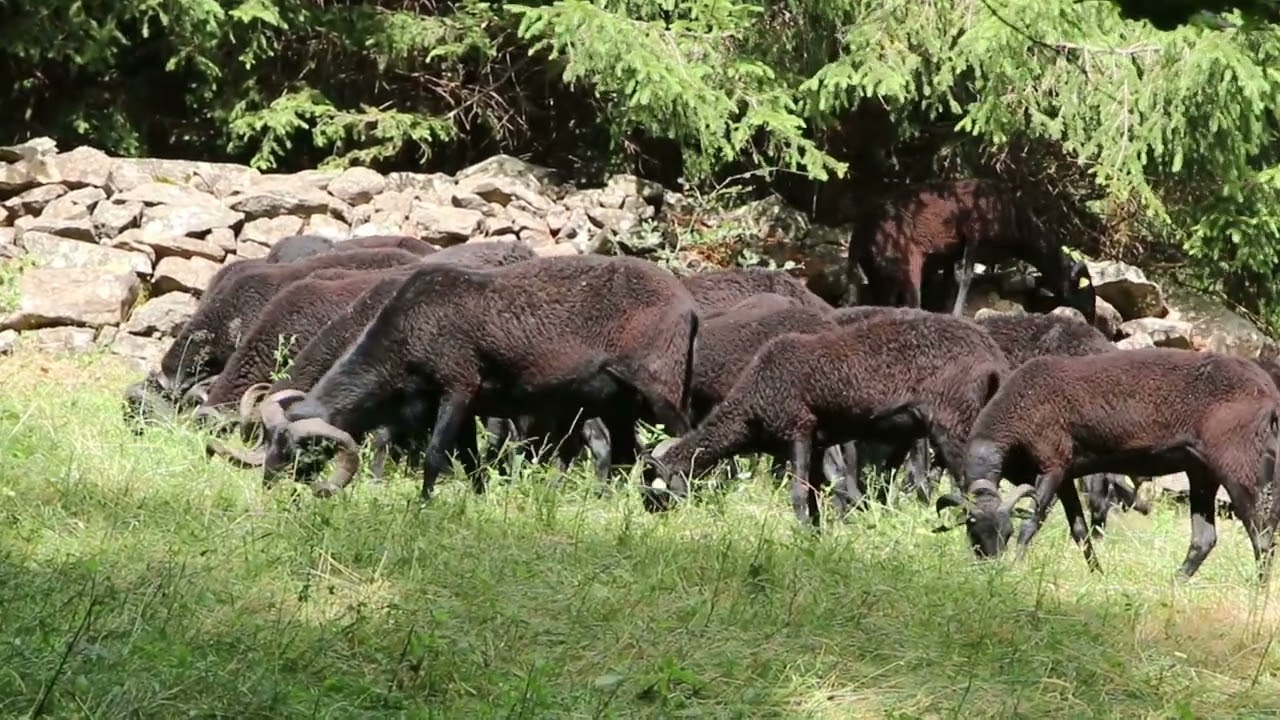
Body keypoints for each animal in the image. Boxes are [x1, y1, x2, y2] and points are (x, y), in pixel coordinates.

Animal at [263, 254, 700, 499]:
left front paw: (423, 505)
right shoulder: (468, 406)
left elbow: (435, 456)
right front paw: (477, 501)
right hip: (616, 404)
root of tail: (689, 306)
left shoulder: (457, 387)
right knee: (626, 454)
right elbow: (471, 462)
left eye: (299, 450)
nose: (267, 487)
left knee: (682, 439)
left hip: (659, 389)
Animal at [643, 309, 1010, 526]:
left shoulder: (798, 430)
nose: (649, 517)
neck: (750, 406)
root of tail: (991, 353)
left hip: (953, 421)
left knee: (971, 485)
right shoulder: (819, 442)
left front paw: (802, 532)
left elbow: (798, 492)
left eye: (654, 484)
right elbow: (817, 492)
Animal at [844, 178, 1096, 322]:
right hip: (906, 260)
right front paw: (957, 313)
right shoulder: (974, 236)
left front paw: (947, 311)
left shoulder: (950, 251)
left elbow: (949, 283)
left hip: (878, 272)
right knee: (912, 301)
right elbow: (966, 278)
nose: (1093, 317)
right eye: (1081, 286)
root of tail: (859, 234)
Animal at [955, 347, 1280, 581]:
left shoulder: (1052, 465)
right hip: (1202, 471)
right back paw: (1173, 584)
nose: (989, 569)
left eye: (1006, 533)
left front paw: (1014, 569)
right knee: (1205, 538)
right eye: (972, 535)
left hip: (1240, 465)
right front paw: (1098, 575)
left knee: (1262, 535)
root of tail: (1268, 390)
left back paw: (1258, 595)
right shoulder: (1066, 474)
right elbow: (1080, 531)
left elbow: (1031, 524)